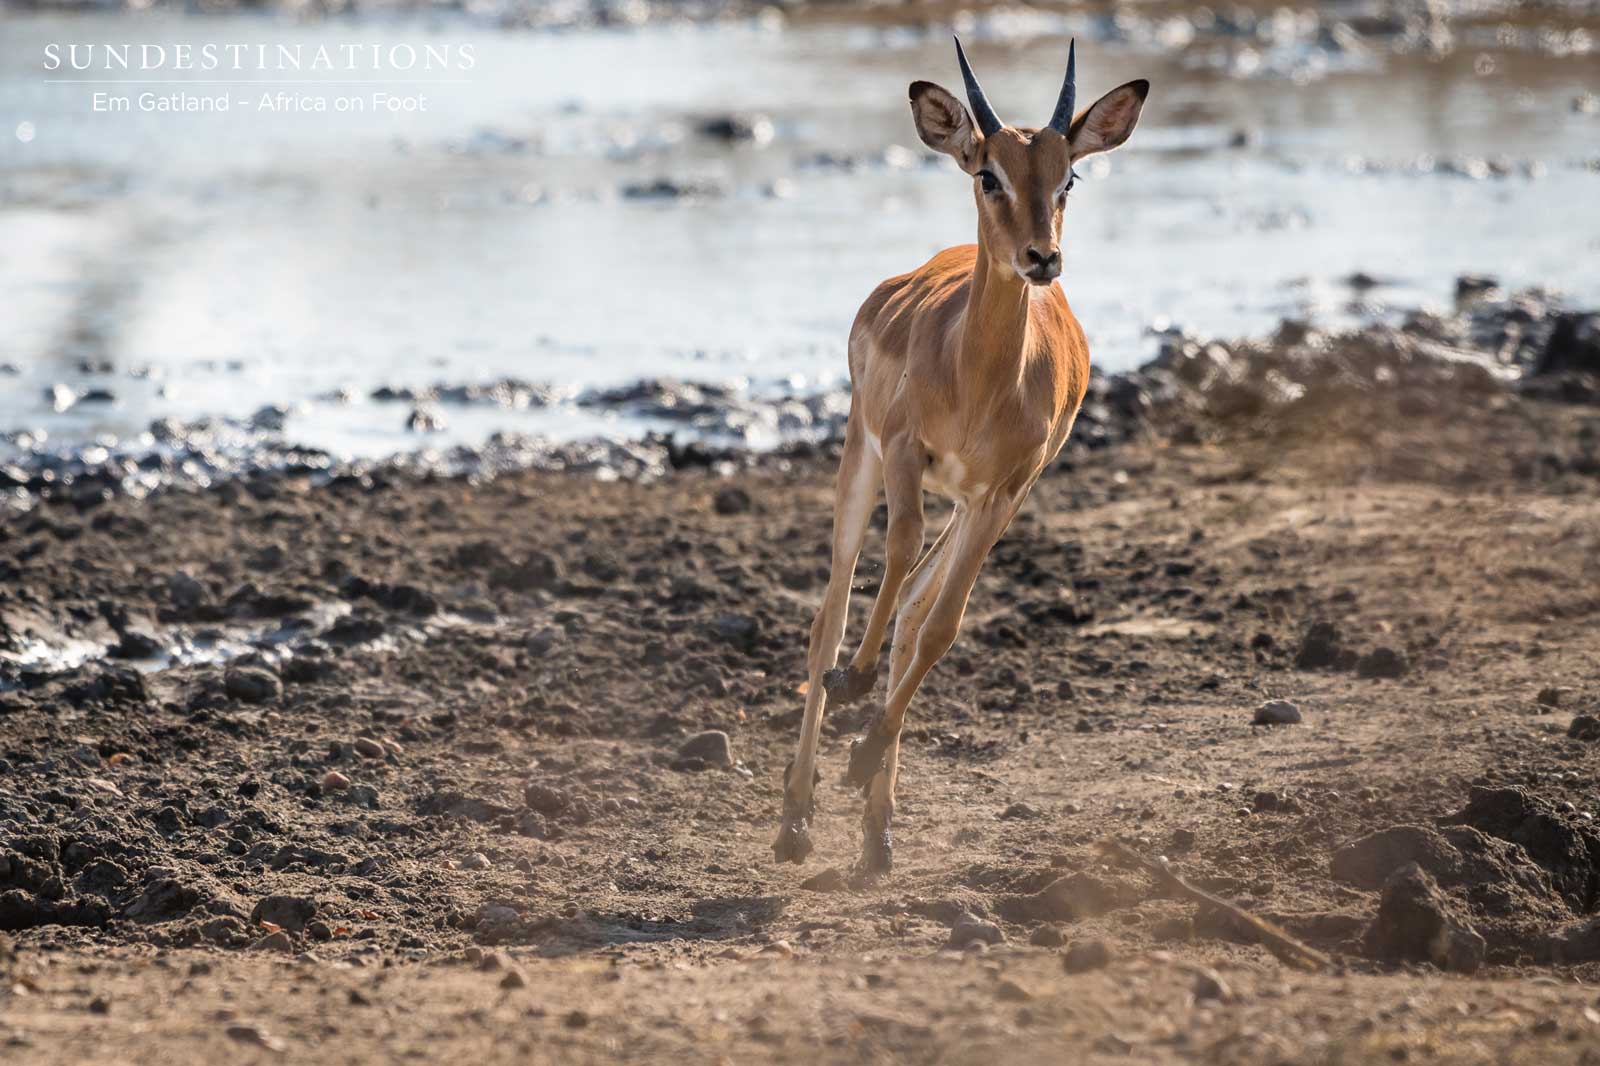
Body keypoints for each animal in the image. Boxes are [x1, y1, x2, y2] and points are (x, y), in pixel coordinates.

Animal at [772, 39, 1148, 879]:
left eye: (1068, 176)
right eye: (989, 174)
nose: (1042, 258)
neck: (979, 381)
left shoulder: (1004, 492)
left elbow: (941, 626)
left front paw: (865, 756)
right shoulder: (907, 453)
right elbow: (894, 558)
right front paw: (855, 687)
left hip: (968, 502)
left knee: (915, 606)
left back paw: (876, 829)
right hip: (861, 457)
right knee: (830, 614)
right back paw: (797, 818)